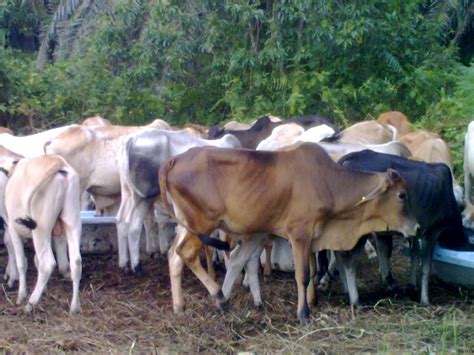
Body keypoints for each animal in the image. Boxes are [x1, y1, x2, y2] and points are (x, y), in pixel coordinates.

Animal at [5, 156, 81, 314]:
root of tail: (59, 163)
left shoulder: (13, 228)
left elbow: (22, 262)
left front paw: (21, 295)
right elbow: (36, 260)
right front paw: (44, 290)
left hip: (41, 228)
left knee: (48, 263)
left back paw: (31, 303)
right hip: (72, 220)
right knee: (76, 261)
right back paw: (74, 306)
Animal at [159, 143, 414, 324]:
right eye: (402, 195)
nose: (416, 227)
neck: (328, 182)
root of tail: (173, 160)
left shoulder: (312, 237)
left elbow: (312, 269)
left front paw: (312, 301)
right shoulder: (299, 233)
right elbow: (302, 274)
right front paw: (303, 313)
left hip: (187, 224)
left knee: (174, 255)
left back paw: (179, 307)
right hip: (202, 222)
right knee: (186, 253)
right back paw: (219, 297)